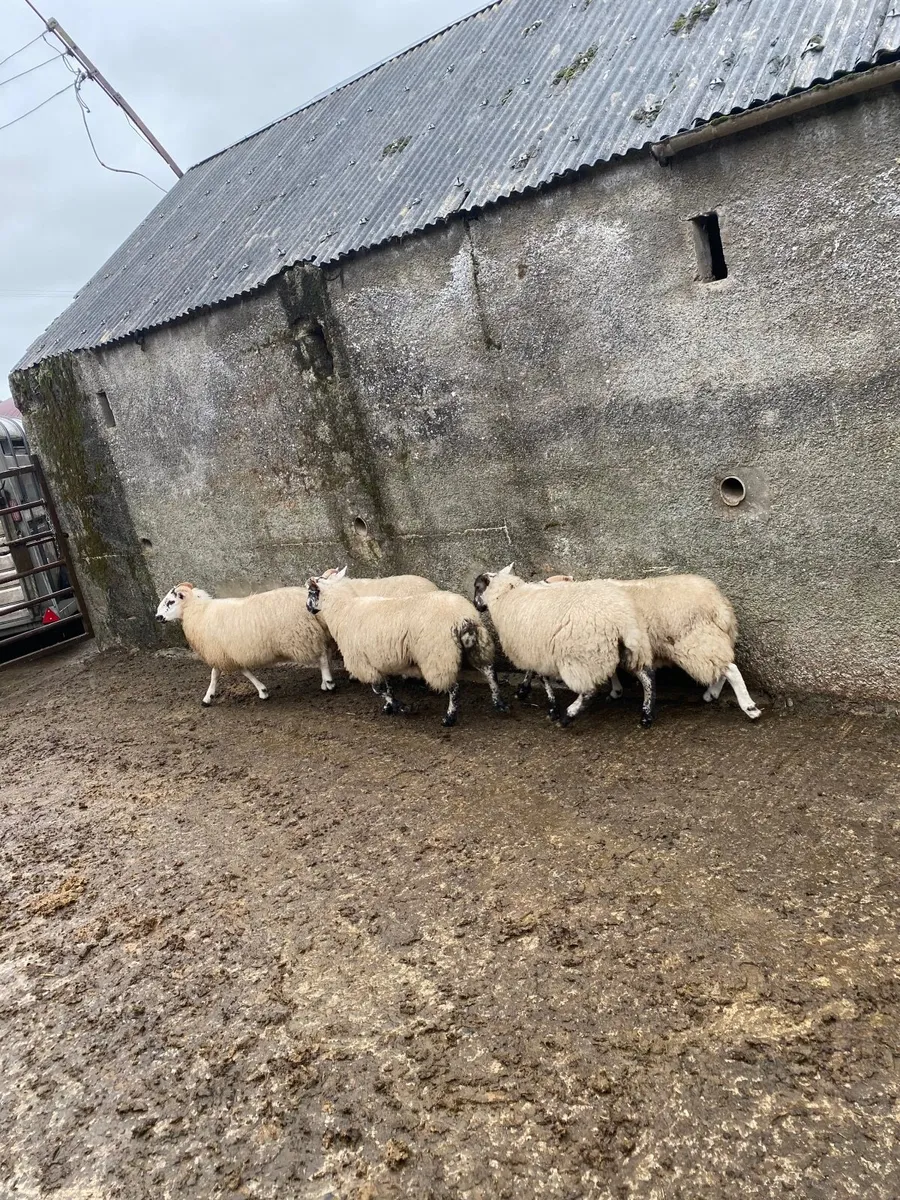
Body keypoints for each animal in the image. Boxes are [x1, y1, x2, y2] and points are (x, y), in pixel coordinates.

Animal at [155, 582, 335, 706]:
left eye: (170, 602)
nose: (157, 617)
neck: (198, 611)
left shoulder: (218, 651)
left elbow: (215, 674)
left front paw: (207, 698)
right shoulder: (230, 653)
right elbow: (243, 671)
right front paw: (262, 691)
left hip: (302, 636)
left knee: (321, 656)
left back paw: (328, 681)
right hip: (314, 633)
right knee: (326, 653)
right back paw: (325, 682)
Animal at [306, 574, 508, 726]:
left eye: (311, 591)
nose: (308, 608)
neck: (342, 609)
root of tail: (462, 616)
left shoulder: (363, 663)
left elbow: (378, 690)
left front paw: (401, 707)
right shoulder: (380, 659)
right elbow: (387, 687)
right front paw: (390, 707)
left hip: (438, 655)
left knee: (454, 687)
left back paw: (449, 718)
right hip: (476, 645)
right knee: (490, 672)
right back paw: (499, 703)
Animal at [473, 564, 656, 727]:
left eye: (477, 587)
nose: (475, 606)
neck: (506, 595)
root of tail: (620, 619)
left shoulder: (537, 650)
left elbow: (543, 679)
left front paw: (553, 709)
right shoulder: (533, 648)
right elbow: (532, 672)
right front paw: (523, 690)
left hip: (582, 656)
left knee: (590, 690)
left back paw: (568, 715)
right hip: (629, 647)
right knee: (647, 677)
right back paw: (646, 715)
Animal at [517, 572, 761, 720]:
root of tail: (720, 605)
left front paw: (524, 687)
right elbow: (612, 671)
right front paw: (616, 690)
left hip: (696, 641)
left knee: (731, 669)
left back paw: (749, 707)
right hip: (711, 639)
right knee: (723, 667)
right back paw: (712, 693)